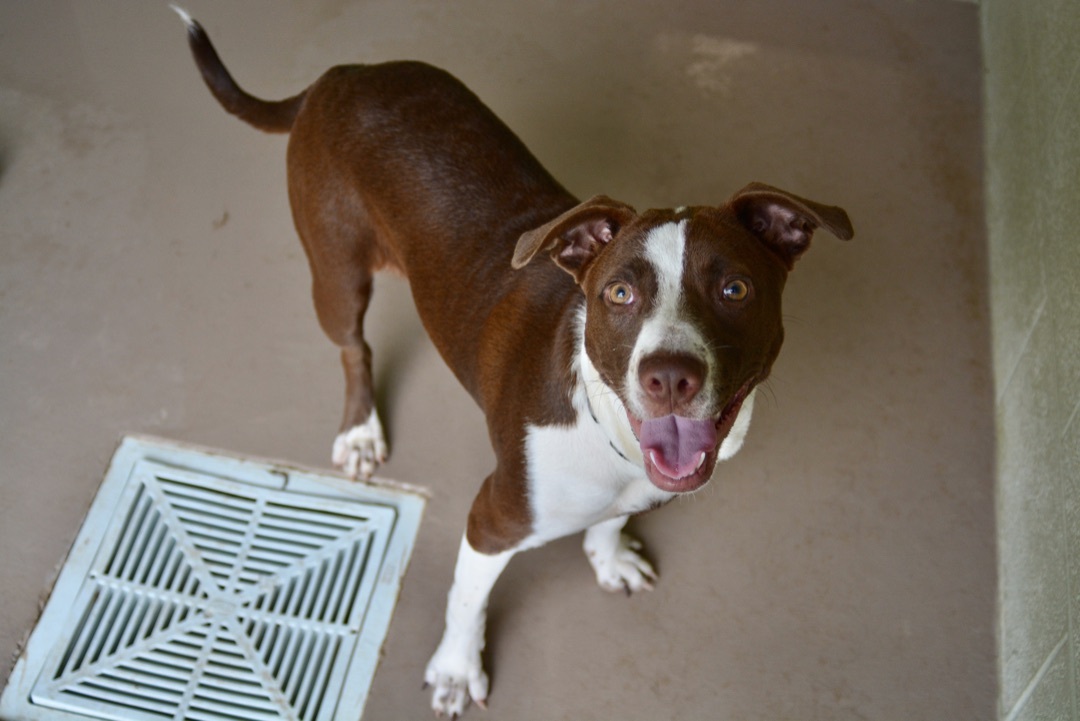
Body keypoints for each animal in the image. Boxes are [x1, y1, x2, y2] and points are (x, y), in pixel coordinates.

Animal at [174, 9, 851, 716]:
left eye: (735, 289)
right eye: (619, 294)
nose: (669, 377)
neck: (606, 432)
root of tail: (338, 76)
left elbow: (610, 523)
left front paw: (609, 556)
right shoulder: (489, 520)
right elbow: (466, 602)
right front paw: (454, 671)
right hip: (336, 275)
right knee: (353, 348)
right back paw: (359, 432)